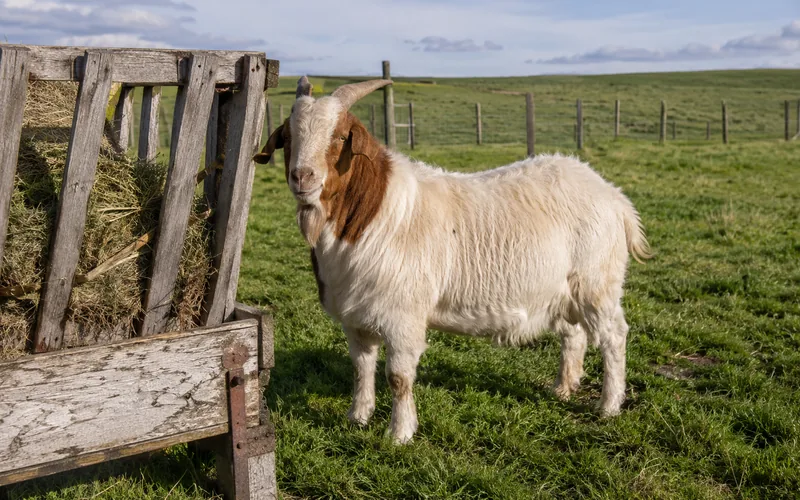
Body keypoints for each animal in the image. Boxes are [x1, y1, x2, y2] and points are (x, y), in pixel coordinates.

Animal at [254, 77, 651, 444]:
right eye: (287, 136)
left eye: (339, 137)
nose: (302, 176)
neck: (369, 213)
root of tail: (615, 198)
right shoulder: (356, 317)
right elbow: (361, 367)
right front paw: (358, 417)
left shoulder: (403, 315)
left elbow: (398, 378)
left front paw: (400, 433)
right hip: (562, 289)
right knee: (573, 334)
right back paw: (563, 387)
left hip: (597, 283)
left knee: (613, 335)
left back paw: (608, 405)